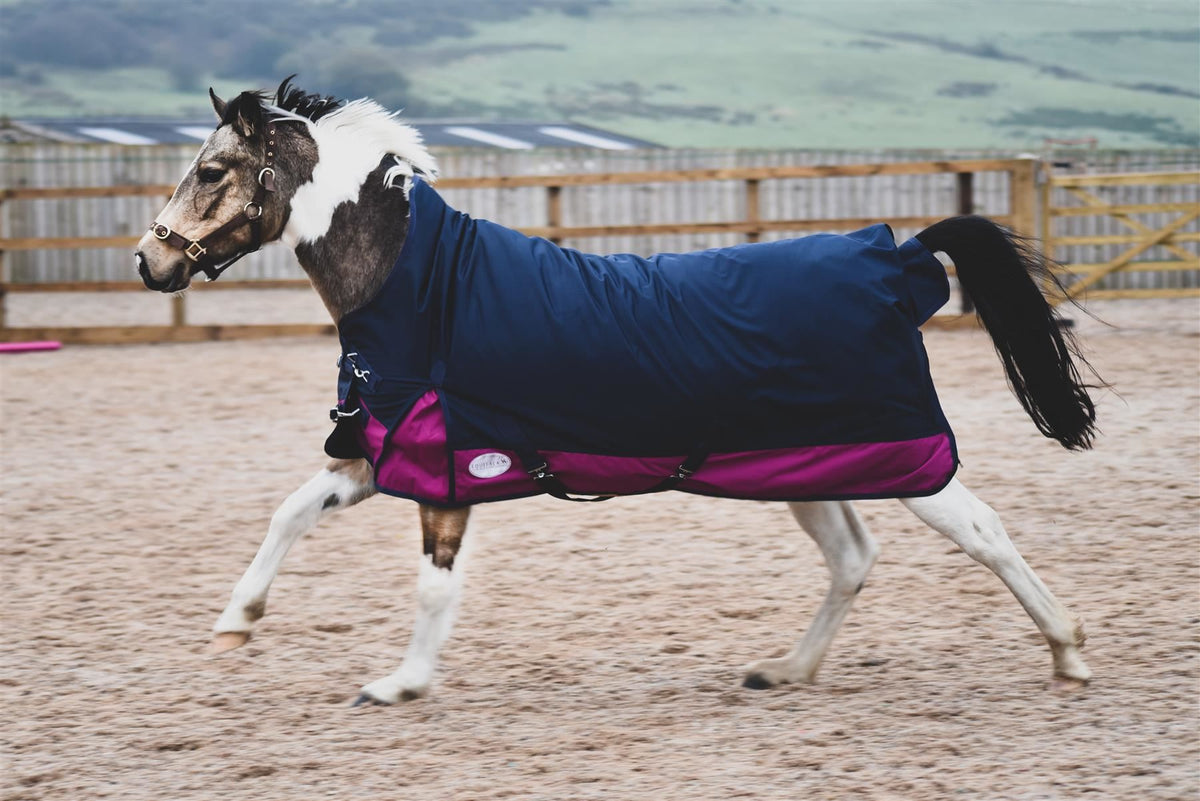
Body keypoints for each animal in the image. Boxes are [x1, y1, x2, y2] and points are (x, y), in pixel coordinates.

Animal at [136, 80, 1098, 706]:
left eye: (213, 171)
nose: (150, 261)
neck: (423, 287)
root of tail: (895, 256)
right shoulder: (383, 454)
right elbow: (292, 510)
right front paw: (236, 622)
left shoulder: (448, 467)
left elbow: (433, 586)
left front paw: (400, 682)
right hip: (807, 462)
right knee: (852, 557)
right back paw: (785, 670)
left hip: (906, 458)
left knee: (982, 532)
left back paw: (1070, 652)